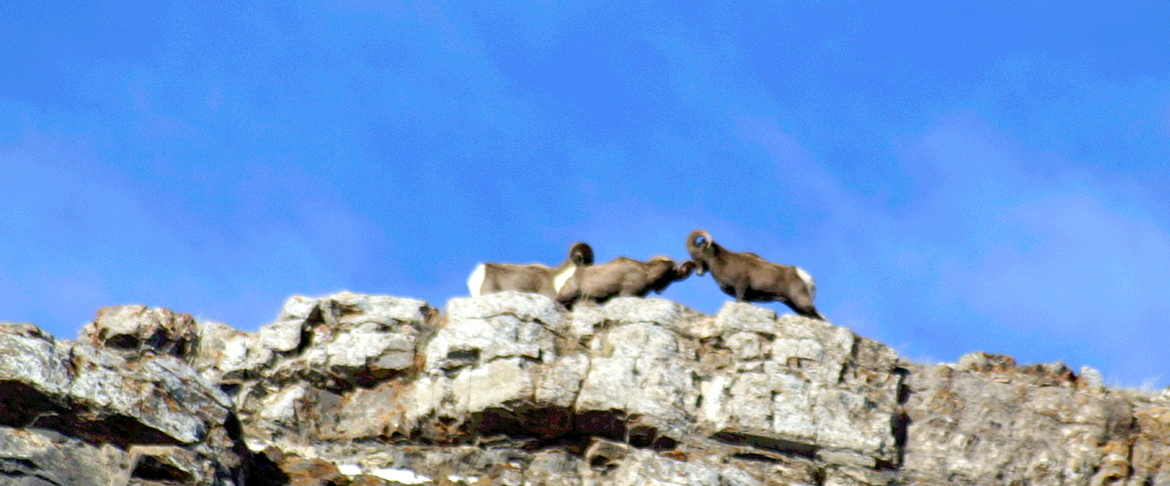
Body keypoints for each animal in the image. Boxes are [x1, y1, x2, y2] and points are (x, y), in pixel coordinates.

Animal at [686, 230, 825, 320]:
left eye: (696, 253)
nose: (699, 273)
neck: (723, 262)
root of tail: (805, 276)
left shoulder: (740, 290)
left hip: (802, 302)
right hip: (794, 304)